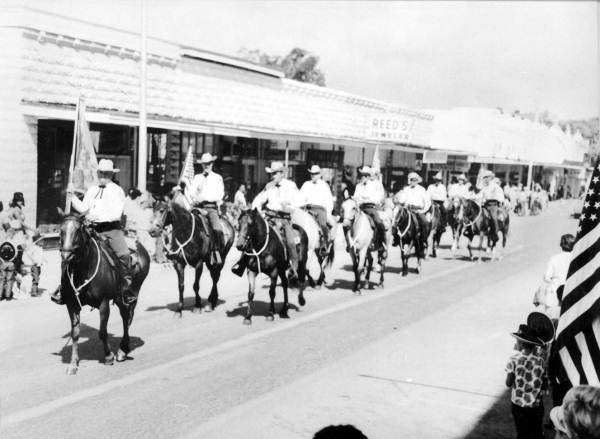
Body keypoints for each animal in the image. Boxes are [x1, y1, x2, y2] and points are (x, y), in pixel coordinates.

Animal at [59, 214, 150, 374]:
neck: (84, 269)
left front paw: (108, 357)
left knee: (127, 318)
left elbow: (102, 332)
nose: (66, 256)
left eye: (78, 231)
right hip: (119, 298)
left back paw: (122, 351)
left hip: (132, 292)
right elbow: (75, 333)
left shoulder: (103, 302)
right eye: (61, 231)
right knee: (126, 317)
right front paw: (73, 364)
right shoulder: (72, 304)